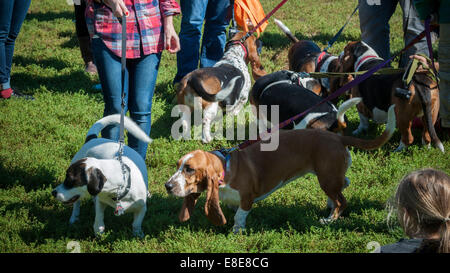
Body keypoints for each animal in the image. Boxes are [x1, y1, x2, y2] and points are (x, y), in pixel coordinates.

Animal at [164, 104, 394, 232]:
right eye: (178, 165)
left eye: (189, 169)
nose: (167, 186)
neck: (225, 167)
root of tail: (338, 137)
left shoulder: (247, 199)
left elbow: (239, 216)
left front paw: (237, 232)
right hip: (330, 177)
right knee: (343, 185)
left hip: (326, 179)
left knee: (341, 201)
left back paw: (329, 220)